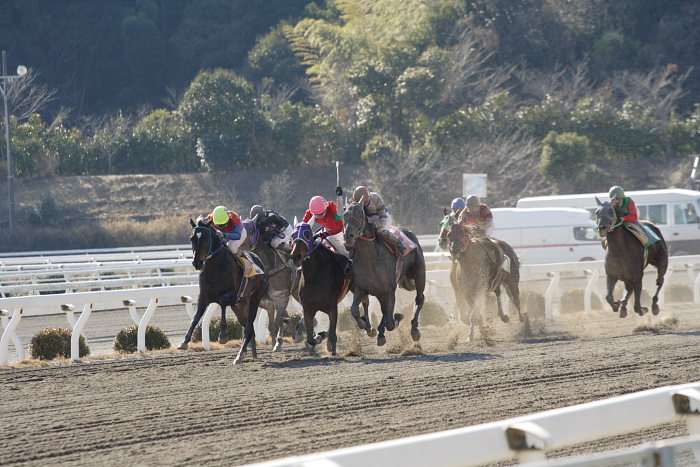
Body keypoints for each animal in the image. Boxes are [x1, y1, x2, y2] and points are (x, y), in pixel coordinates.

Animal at [178, 219, 268, 366]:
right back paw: (252, 354)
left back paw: (239, 355)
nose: (197, 263)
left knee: (249, 327)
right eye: (191, 238)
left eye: (205, 238)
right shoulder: (203, 297)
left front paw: (223, 335)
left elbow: (222, 302)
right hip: (240, 305)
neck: (215, 267)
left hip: (254, 299)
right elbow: (195, 317)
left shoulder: (233, 295)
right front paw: (184, 342)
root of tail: (259, 261)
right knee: (248, 328)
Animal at [239, 219, 300, 352]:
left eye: (251, 231)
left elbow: (278, 321)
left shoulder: (281, 297)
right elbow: (274, 324)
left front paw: (278, 343)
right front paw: (275, 343)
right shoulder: (268, 302)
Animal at [344, 202, 426, 348]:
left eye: (359, 213)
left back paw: (415, 329)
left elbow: (390, 322)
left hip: (419, 275)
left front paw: (398, 317)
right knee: (384, 311)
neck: (371, 260)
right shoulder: (361, 289)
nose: (348, 236)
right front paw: (365, 324)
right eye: (343, 214)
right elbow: (354, 310)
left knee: (419, 299)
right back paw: (380, 333)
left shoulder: (389, 291)